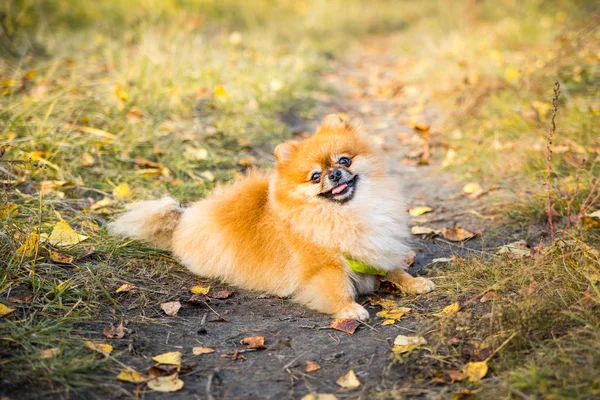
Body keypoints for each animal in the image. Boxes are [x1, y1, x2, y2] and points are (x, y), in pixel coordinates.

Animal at [110, 115, 434, 318]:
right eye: (315, 177)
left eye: (344, 160)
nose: (334, 174)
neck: (347, 212)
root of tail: (184, 217)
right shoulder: (324, 267)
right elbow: (337, 288)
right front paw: (349, 309)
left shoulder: (374, 249)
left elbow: (394, 269)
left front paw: (414, 282)